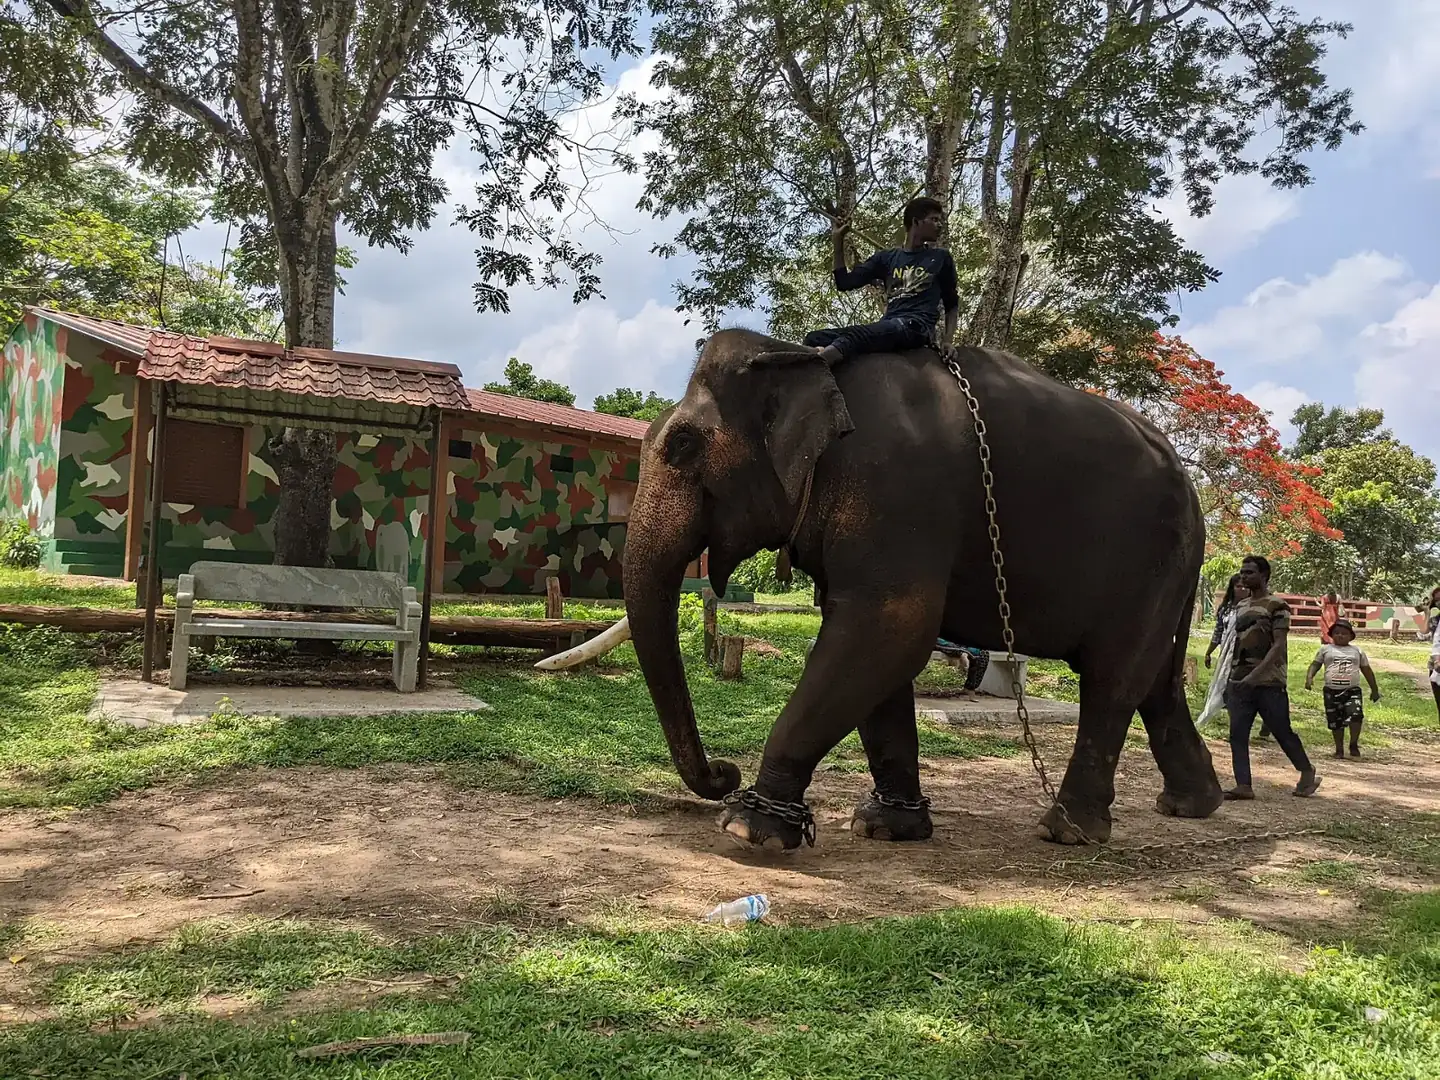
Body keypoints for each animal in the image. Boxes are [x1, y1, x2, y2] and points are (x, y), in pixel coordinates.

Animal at [623, 328, 1224, 850]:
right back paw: (1192, 805)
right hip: (1166, 573)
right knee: (1156, 680)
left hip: (1149, 558)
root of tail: (1197, 502)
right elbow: (872, 651)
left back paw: (1068, 831)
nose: (724, 772)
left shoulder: (897, 487)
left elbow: (887, 629)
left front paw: (749, 829)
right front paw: (885, 827)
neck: (804, 360)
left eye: (681, 444)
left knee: (1113, 677)